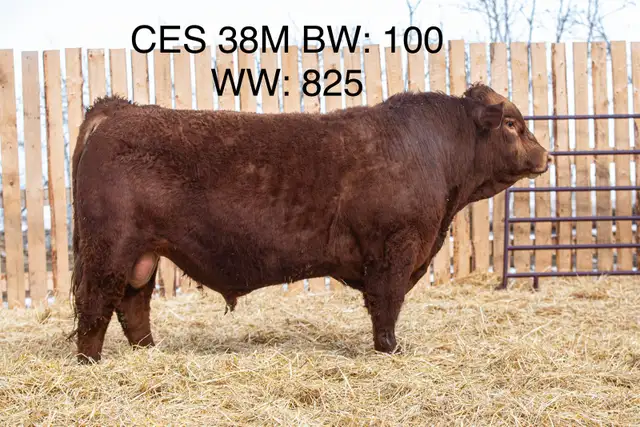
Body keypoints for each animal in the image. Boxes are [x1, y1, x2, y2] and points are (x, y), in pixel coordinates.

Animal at [68, 82, 550, 363]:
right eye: (512, 124)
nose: (546, 155)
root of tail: (117, 110)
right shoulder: (395, 248)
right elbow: (387, 304)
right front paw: (390, 350)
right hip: (109, 247)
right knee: (96, 304)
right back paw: (91, 362)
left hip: (143, 254)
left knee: (133, 304)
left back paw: (151, 354)